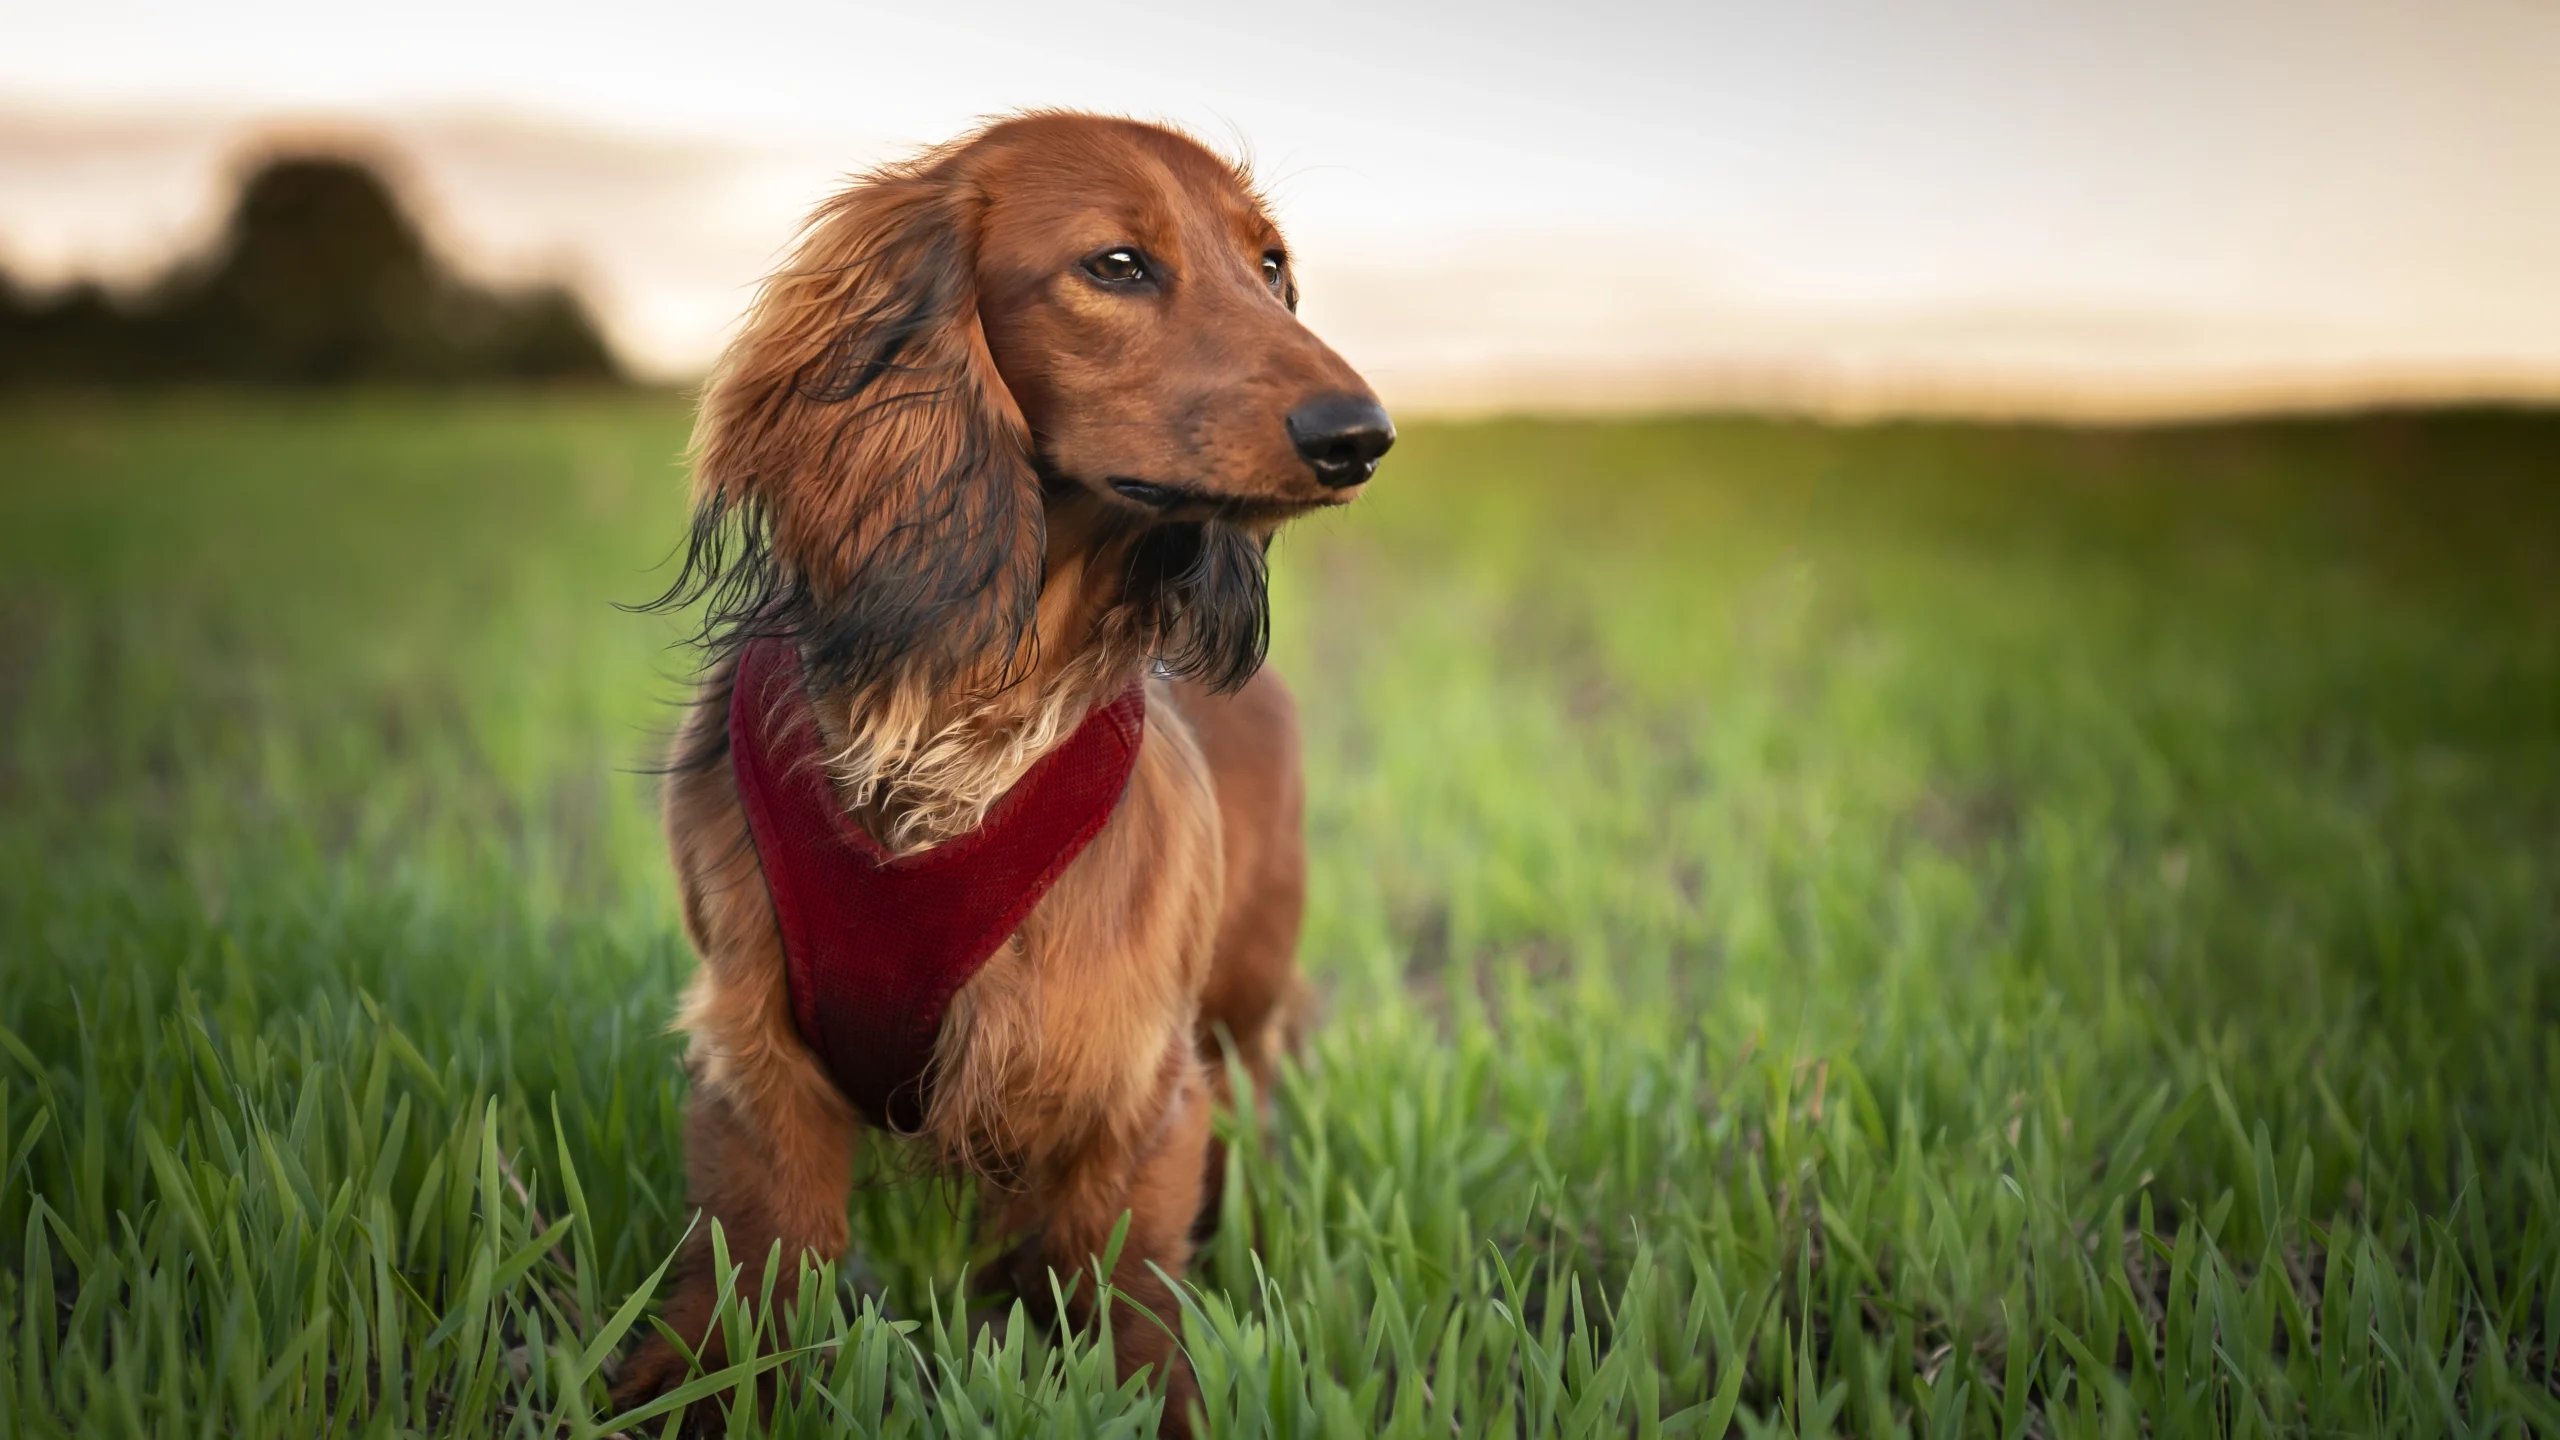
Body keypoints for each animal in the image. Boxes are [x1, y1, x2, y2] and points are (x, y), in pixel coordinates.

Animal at [609, 114, 1392, 1424]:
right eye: (1117, 264)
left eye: (1272, 266)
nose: (1361, 435)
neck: (958, 714)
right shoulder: (756, 1057)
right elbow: (754, 1271)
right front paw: (686, 1391)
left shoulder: (1130, 1080)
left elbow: (1128, 1299)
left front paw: (1159, 1407)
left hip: (1240, 1005)